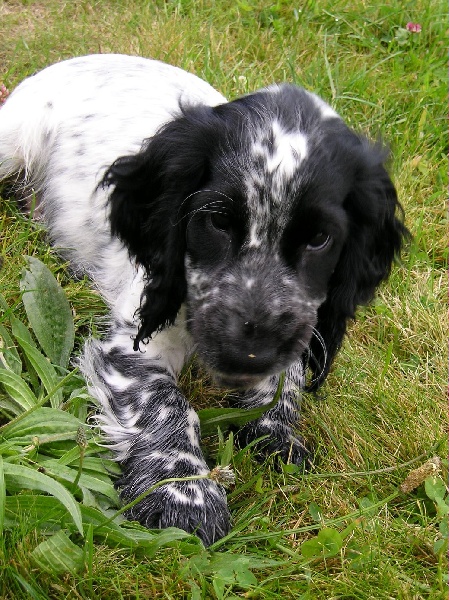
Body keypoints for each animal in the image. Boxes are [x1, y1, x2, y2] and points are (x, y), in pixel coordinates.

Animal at [0, 54, 408, 545]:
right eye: (216, 221)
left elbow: (284, 379)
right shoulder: (135, 338)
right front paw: (184, 494)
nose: (247, 354)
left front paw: (277, 435)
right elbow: (166, 403)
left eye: (320, 239)